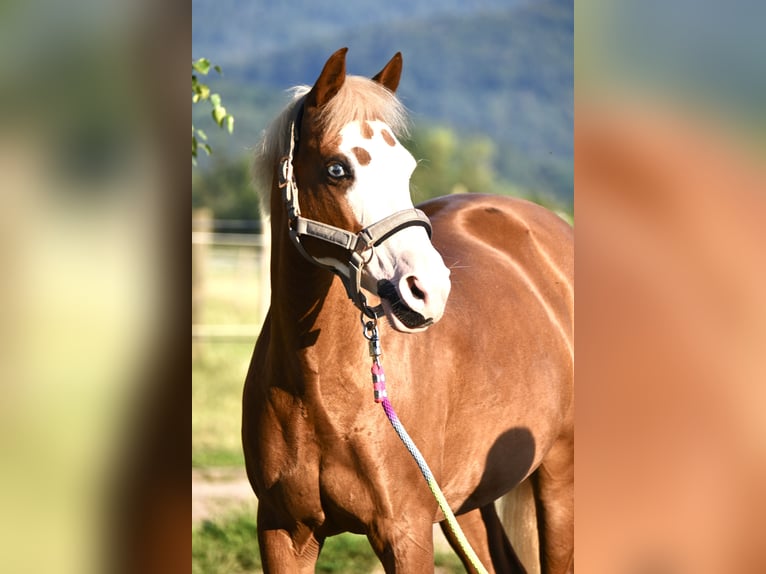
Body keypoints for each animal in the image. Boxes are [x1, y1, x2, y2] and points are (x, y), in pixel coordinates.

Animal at [243, 47, 572, 572]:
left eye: (407, 168)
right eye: (337, 169)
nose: (429, 289)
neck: (319, 388)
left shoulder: (405, 532)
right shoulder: (283, 532)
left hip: (559, 478)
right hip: (467, 505)